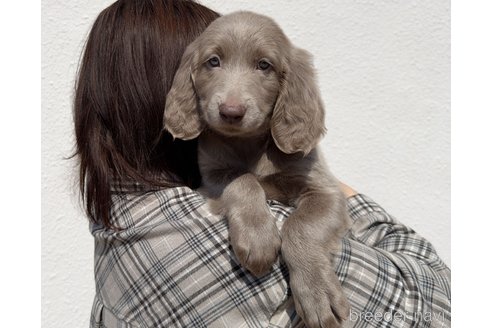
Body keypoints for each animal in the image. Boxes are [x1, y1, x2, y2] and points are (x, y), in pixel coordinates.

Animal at [164, 11, 350, 326]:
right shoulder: (211, 175)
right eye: (213, 61)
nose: (231, 112)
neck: (249, 143)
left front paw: (317, 293)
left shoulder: (325, 190)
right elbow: (243, 180)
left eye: (264, 65)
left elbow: (302, 224)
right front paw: (258, 237)